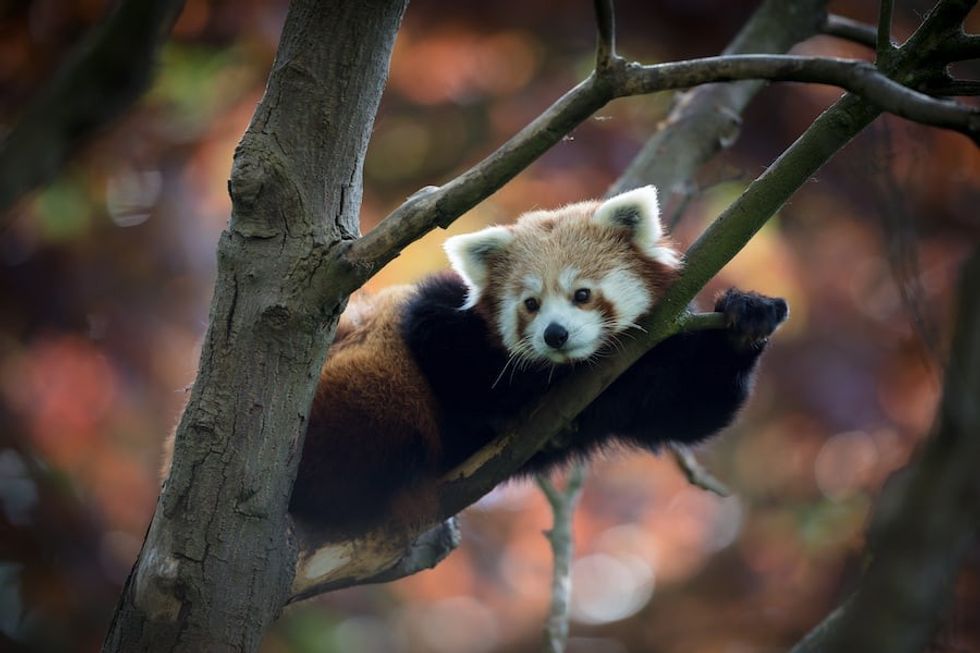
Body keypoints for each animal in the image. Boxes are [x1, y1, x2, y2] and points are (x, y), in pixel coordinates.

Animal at [285, 185, 788, 537]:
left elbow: (694, 410)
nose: (555, 334)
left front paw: (747, 317)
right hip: (362, 381)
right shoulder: (437, 315)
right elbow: (449, 351)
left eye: (582, 294)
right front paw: (528, 393)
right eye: (530, 304)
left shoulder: (653, 363)